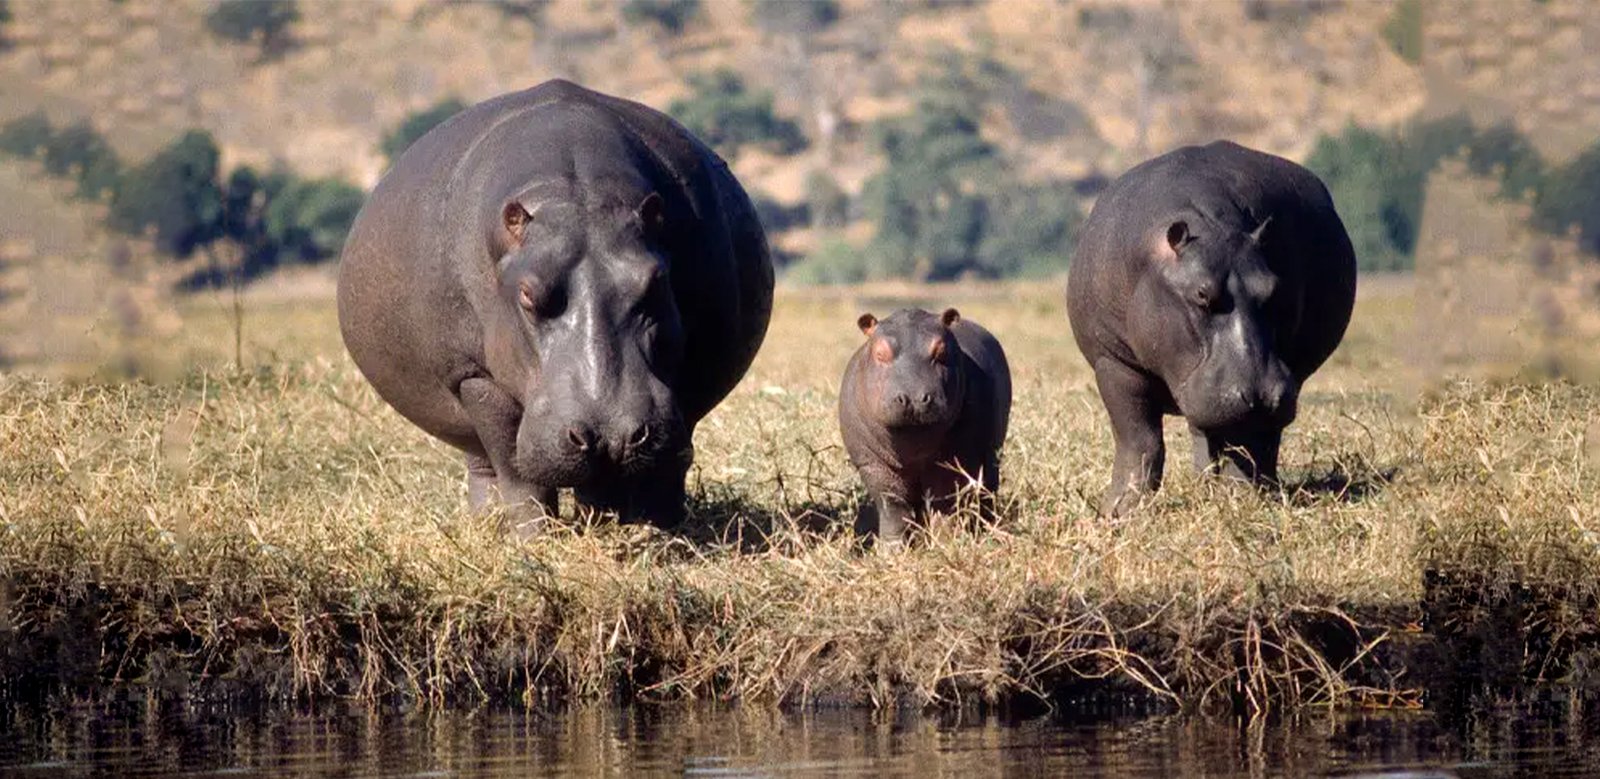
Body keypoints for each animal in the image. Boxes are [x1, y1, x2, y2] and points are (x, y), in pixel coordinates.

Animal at [337, 79, 774, 531]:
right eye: (528, 294)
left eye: (656, 281)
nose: (611, 433)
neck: (575, 198)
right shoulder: (474, 377)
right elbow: (515, 470)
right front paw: (535, 538)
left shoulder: (692, 367)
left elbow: (660, 465)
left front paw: (644, 531)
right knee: (485, 465)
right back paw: (488, 525)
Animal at [838, 308, 1011, 547]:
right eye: (880, 353)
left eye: (942, 351)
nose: (913, 398)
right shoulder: (873, 463)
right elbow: (892, 507)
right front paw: (893, 549)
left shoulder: (951, 461)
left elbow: (943, 503)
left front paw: (944, 544)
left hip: (991, 455)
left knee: (987, 489)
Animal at [1068, 139, 1356, 518]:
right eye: (1201, 294)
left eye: (1273, 288)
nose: (1260, 392)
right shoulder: (1114, 363)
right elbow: (1139, 438)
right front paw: (1120, 511)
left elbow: (1243, 446)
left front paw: (1241, 499)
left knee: (1255, 440)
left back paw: (1256, 488)